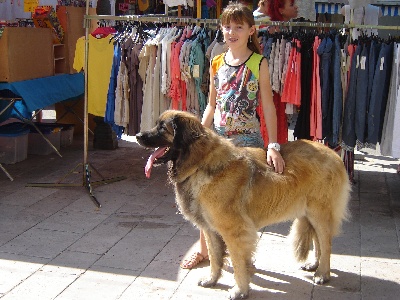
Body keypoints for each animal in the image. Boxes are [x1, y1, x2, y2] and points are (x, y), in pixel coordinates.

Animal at [137, 110, 350, 300]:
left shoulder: (234, 231)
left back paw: (323, 274)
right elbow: (214, 256)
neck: (200, 163)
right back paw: (315, 265)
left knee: (326, 242)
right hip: (311, 213)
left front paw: (239, 290)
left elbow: (237, 262)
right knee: (318, 240)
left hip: (319, 212)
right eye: (156, 124)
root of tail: (334, 154)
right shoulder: (210, 228)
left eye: (162, 128)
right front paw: (212, 279)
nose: (138, 136)